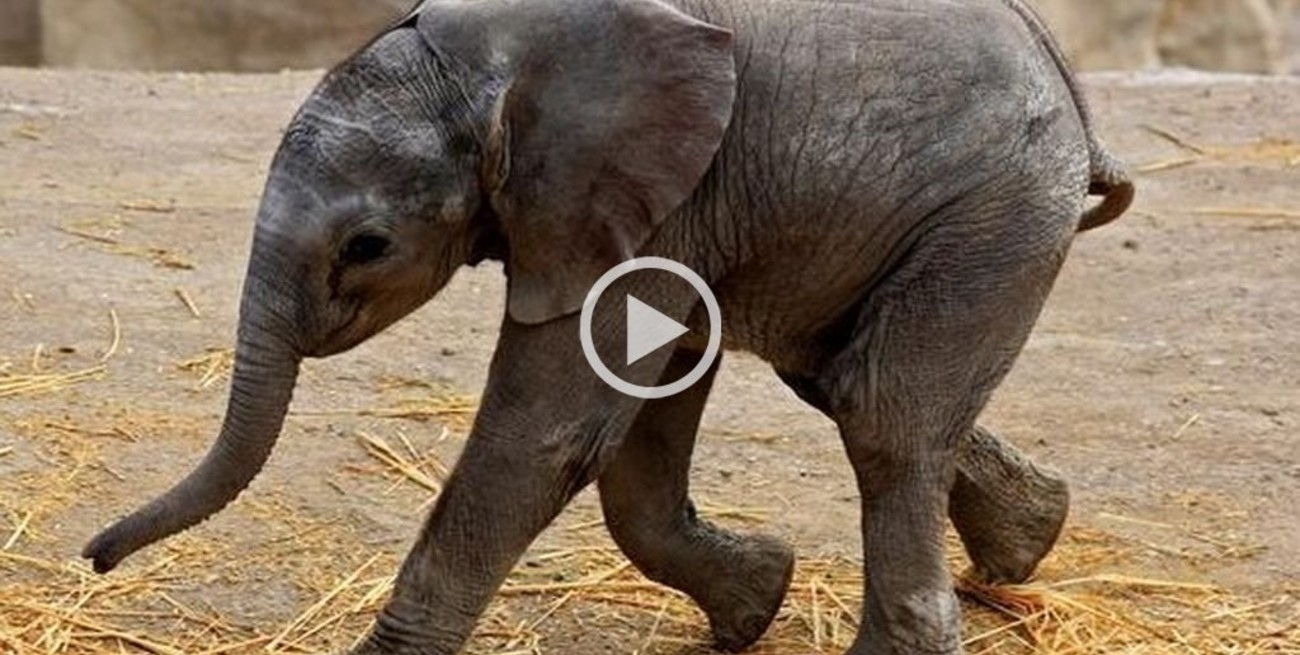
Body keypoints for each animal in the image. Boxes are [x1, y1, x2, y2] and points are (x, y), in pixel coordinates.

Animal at [82, 0, 1134, 653]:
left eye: (367, 246)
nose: (91, 556)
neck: (495, 62)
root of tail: (1077, 102)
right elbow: (639, 416)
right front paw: (757, 602)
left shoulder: (649, 187)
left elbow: (550, 431)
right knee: (837, 380)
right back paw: (1024, 546)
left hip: (987, 212)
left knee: (883, 416)